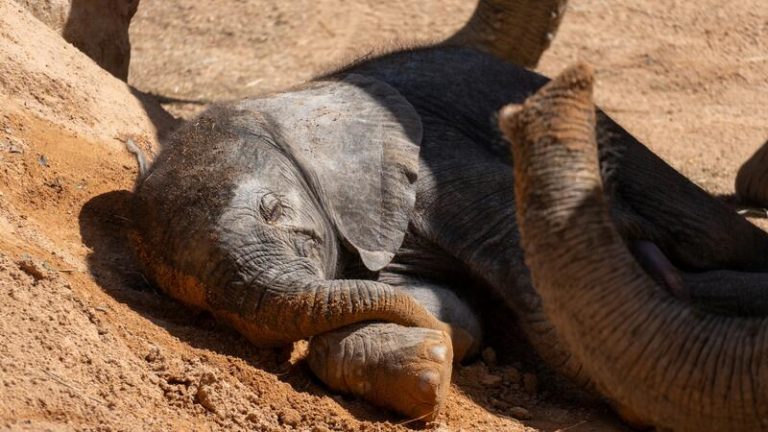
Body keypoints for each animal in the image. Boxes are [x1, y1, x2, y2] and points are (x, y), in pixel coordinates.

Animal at [128, 0, 768, 427]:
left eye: (272, 210)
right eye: (206, 306)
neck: (288, 100)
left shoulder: (439, 155)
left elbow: (535, 288)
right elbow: (437, 302)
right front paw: (429, 358)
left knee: (708, 231)